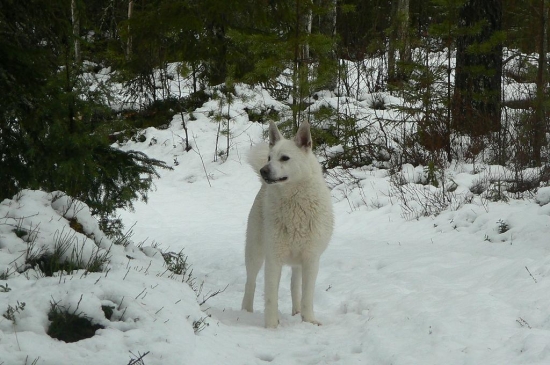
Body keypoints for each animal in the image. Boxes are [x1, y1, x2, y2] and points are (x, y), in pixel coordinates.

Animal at [243, 120, 336, 328]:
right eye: (269, 158)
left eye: (284, 158)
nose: (264, 170)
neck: (294, 204)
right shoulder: (273, 258)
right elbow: (271, 297)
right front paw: (271, 326)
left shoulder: (311, 259)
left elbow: (307, 295)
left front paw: (309, 320)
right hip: (255, 253)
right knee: (250, 282)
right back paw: (245, 311)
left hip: (298, 261)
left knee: (295, 284)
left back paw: (297, 312)